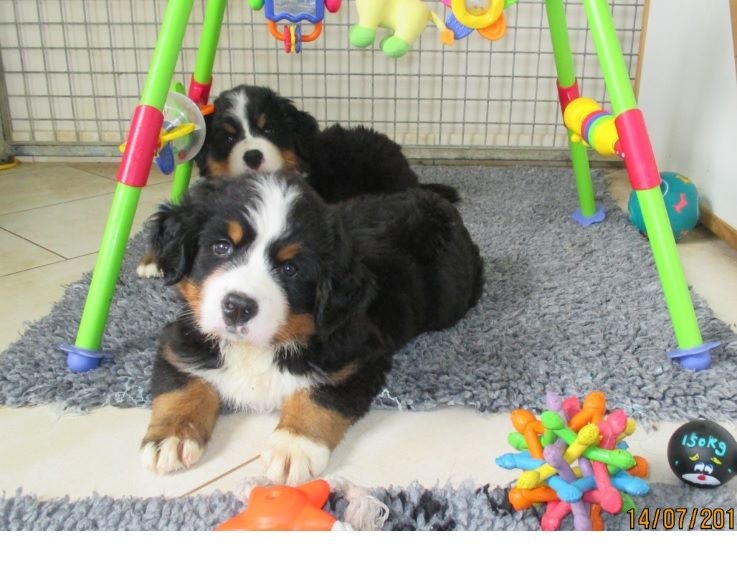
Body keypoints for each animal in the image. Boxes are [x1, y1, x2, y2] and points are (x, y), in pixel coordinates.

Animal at [140, 171, 484, 484]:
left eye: (290, 268)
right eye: (221, 247)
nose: (237, 307)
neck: (259, 347)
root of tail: (432, 200)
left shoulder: (359, 357)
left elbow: (320, 396)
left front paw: (293, 445)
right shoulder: (180, 338)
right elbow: (181, 385)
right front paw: (170, 437)